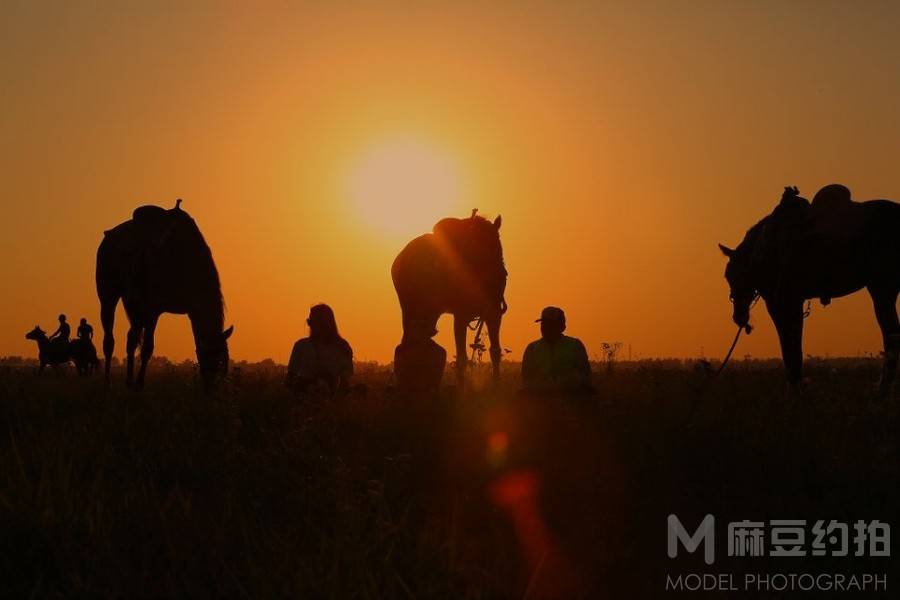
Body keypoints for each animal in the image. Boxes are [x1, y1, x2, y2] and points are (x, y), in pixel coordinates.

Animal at [96, 199, 232, 392]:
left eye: (224, 362)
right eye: (212, 359)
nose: (212, 389)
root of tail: (108, 237)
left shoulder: (184, 310)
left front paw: (136, 384)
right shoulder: (153, 309)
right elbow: (147, 348)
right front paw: (139, 386)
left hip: (133, 304)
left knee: (131, 338)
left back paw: (128, 381)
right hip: (109, 295)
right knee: (109, 339)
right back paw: (108, 383)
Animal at [392, 209, 510, 382]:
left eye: (497, 244)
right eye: (473, 244)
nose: (497, 275)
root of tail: (400, 258)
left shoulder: (493, 314)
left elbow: (495, 351)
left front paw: (496, 383)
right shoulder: (461, 315)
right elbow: (462, 358)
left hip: (430, 311)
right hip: (409, 308)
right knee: (409, 339)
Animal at [720, 185, 900, 396]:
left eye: (734, 275)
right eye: (727, 276)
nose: (738, 317)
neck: (763, 249)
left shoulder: (782, 302)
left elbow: (790, 347)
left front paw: (795, 391)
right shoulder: (792, 302)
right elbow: (792, 345)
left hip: (882, 288)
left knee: (891, 335)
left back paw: (882, 389)